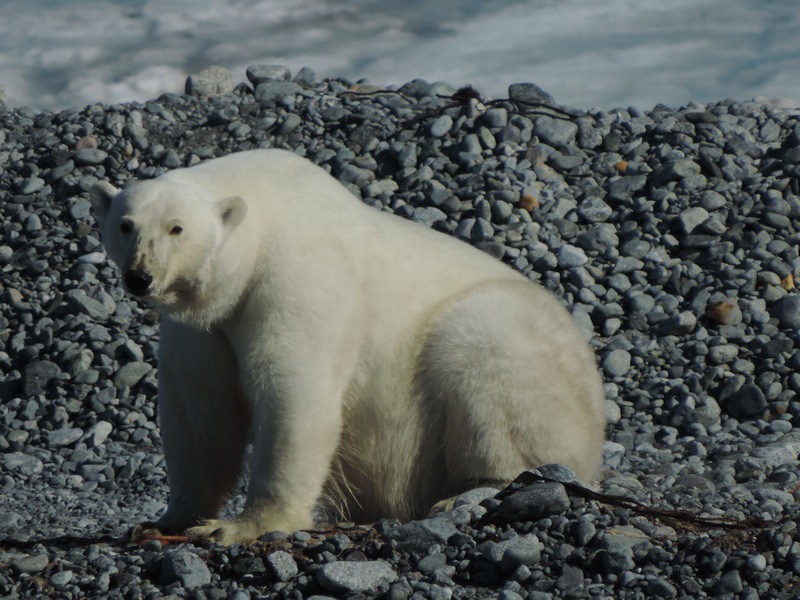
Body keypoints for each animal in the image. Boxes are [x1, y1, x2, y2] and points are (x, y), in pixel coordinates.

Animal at [89, 146, 608, 544]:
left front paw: (241, 526)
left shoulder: (299, 276)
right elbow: (201, 410)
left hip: (520, 352)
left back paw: (468, 492)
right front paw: (169, 519)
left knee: (488, 359)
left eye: (177, 228)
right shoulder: (203, 326)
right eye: (126, 224)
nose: (139, 277)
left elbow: (293, 390)